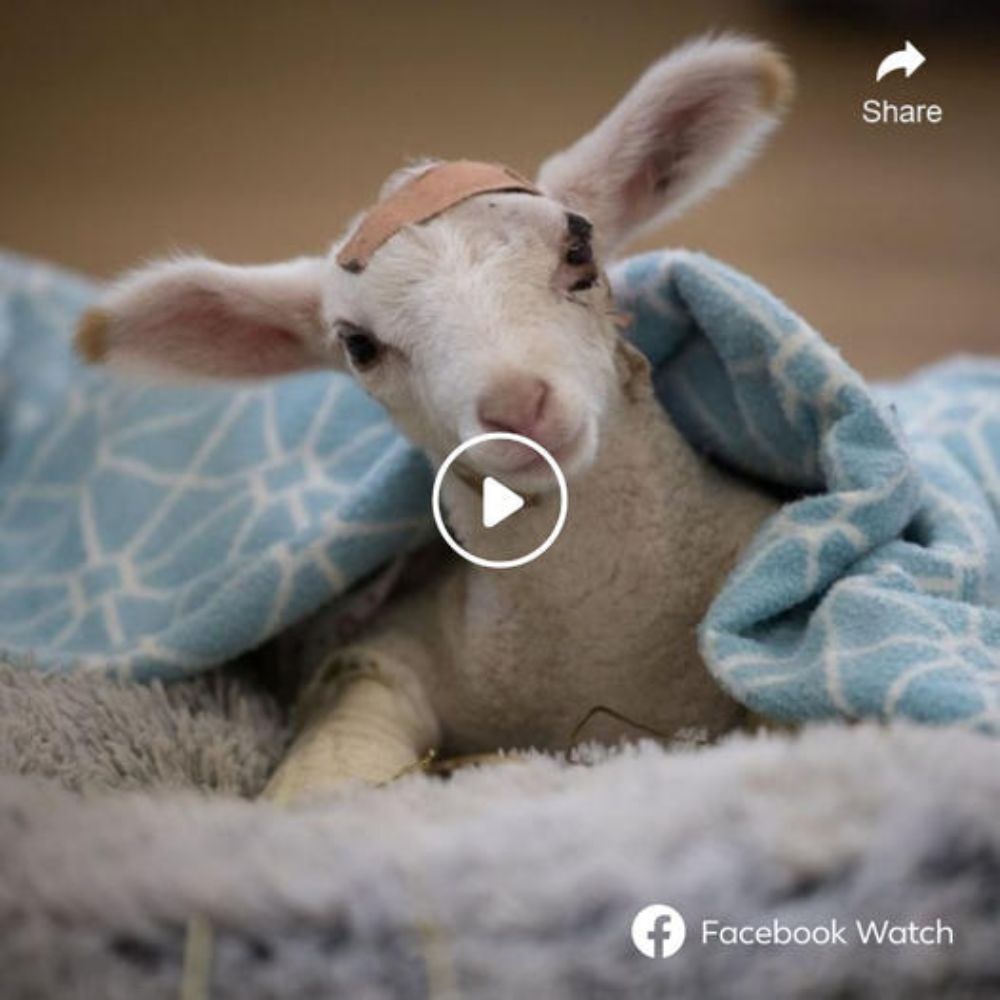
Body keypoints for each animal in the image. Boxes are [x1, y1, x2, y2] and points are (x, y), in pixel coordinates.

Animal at [76, 37, 796, 804]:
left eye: (579, 247)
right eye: (358, 345)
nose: (517, 407)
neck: (599, 642)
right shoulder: (381, 654)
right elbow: (330, 773)